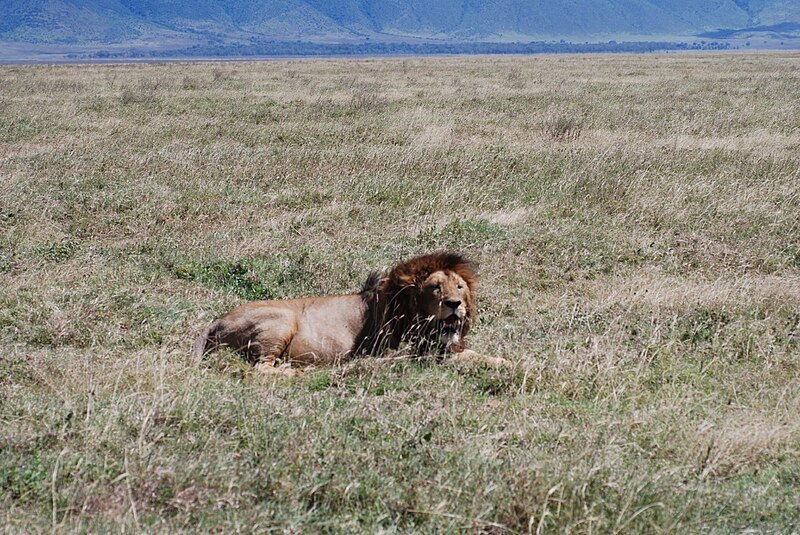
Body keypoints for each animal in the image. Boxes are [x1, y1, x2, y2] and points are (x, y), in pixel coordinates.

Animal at [191, 250, 506, 372]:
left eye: (460, 287)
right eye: (436, 288)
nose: (455, 305)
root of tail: (215, 321)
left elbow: (480, 355)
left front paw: (510, 362)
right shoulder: (412, 353)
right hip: (283, 318)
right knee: (261, 369)